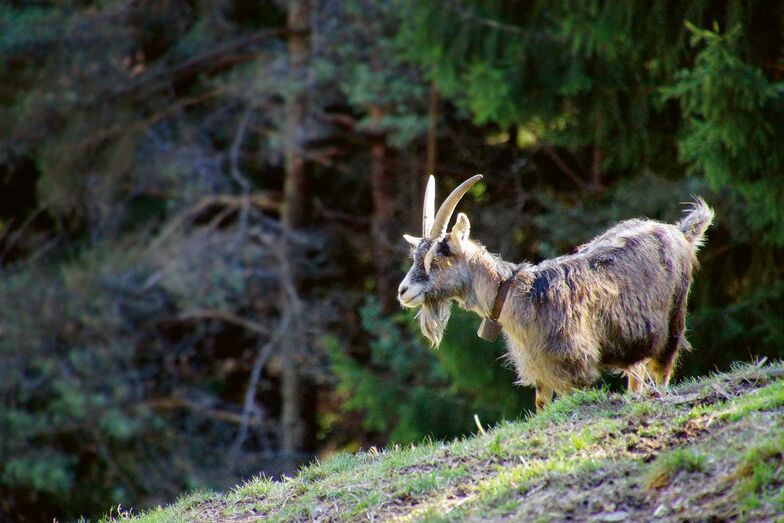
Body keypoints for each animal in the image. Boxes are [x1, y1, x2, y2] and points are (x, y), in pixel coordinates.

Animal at [398, 175, 714, 412]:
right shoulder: (541, 372)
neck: (520, 294)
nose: (403, 291)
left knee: (663, 367)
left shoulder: (573, 367)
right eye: (416, 256)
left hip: (673, 319)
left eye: (439, 257)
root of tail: (679, 232)